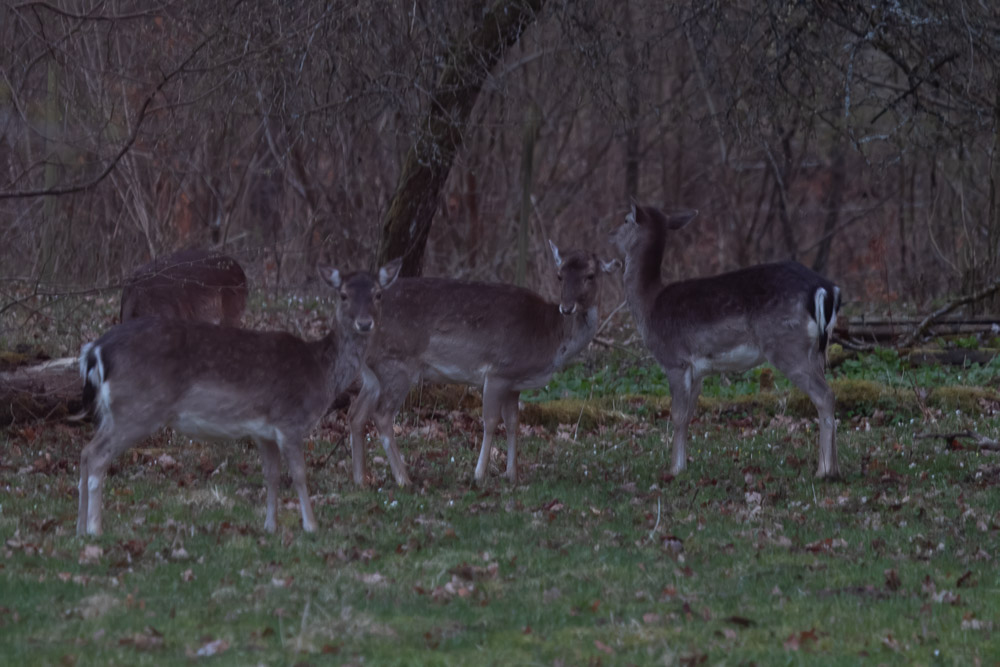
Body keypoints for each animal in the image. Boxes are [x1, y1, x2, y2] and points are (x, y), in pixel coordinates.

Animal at [75, 258, 402, 536]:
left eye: (378, 294)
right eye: (343, 295)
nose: (364, 323)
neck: (321, 372)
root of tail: (95, 350)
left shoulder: (264, 431)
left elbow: (272, 475)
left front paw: (270, 526)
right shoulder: (290, 420)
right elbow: (298, 474)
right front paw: (311, 525)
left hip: (114, 411)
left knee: (86, 452)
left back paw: (80, 531)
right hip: (136, 408)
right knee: (97, 455)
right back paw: (95, 529)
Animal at [350, 243, 616, 488]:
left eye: (590, 275)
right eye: (560, 275)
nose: (567, 307)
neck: (550, 339)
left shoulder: (514, 382)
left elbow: (513, 422)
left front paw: (512, 475)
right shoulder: (499, 370)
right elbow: (490, 421)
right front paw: (479, 475)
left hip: (373, 372)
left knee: (357, 412)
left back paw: (361, 479)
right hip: (396, 365)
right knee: (382, 414)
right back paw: (403, 479)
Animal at [612, 204, 840, 480]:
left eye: (625, 220)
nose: (610, 237)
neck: (649, 307)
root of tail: (826, 289)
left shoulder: (675, 360)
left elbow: (677, 415)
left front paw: (674, 469)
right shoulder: (697, 370)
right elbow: (689, 415)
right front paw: (684, 464)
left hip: (787, 346)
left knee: (824, 395)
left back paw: (823, 470)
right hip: (816, 350)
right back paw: (833, 467)